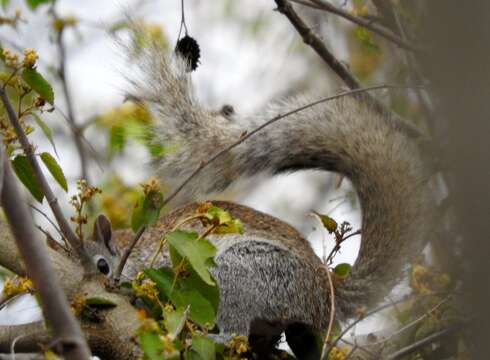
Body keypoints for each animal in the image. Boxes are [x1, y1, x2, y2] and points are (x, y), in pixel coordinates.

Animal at [83, 40, 432, 358]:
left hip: (244, 273)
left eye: (103, 266)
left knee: (237, 324)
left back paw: (217, 336)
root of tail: (324, 291)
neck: (132, 252)